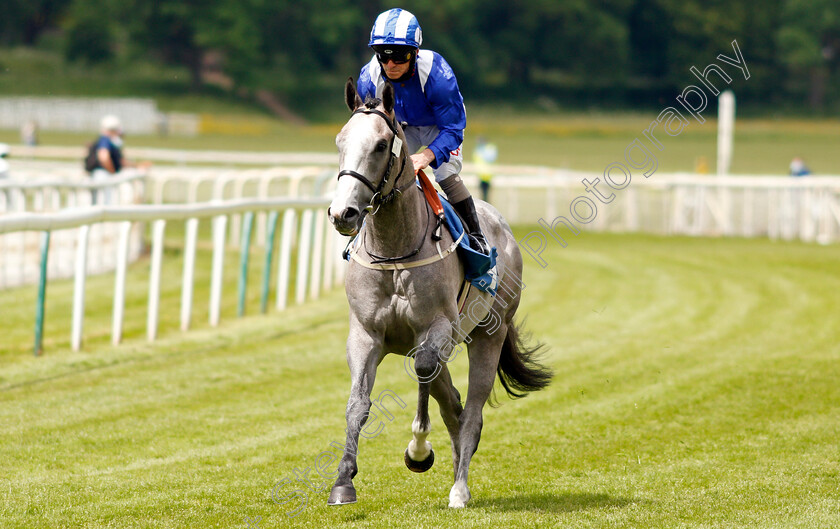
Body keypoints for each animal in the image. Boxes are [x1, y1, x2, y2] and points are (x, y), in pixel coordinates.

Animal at [326, 78, 552, 508]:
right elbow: (357, 403)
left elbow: (424, 372)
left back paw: (459, 487)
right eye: (340, 140)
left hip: (488, 334)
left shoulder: (436, 327)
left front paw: (418, 450)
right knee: (452, 403)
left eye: (381, 145)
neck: (395, 251)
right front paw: (343, 481)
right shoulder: (365, 334)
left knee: (471, 411)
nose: (343, 213)